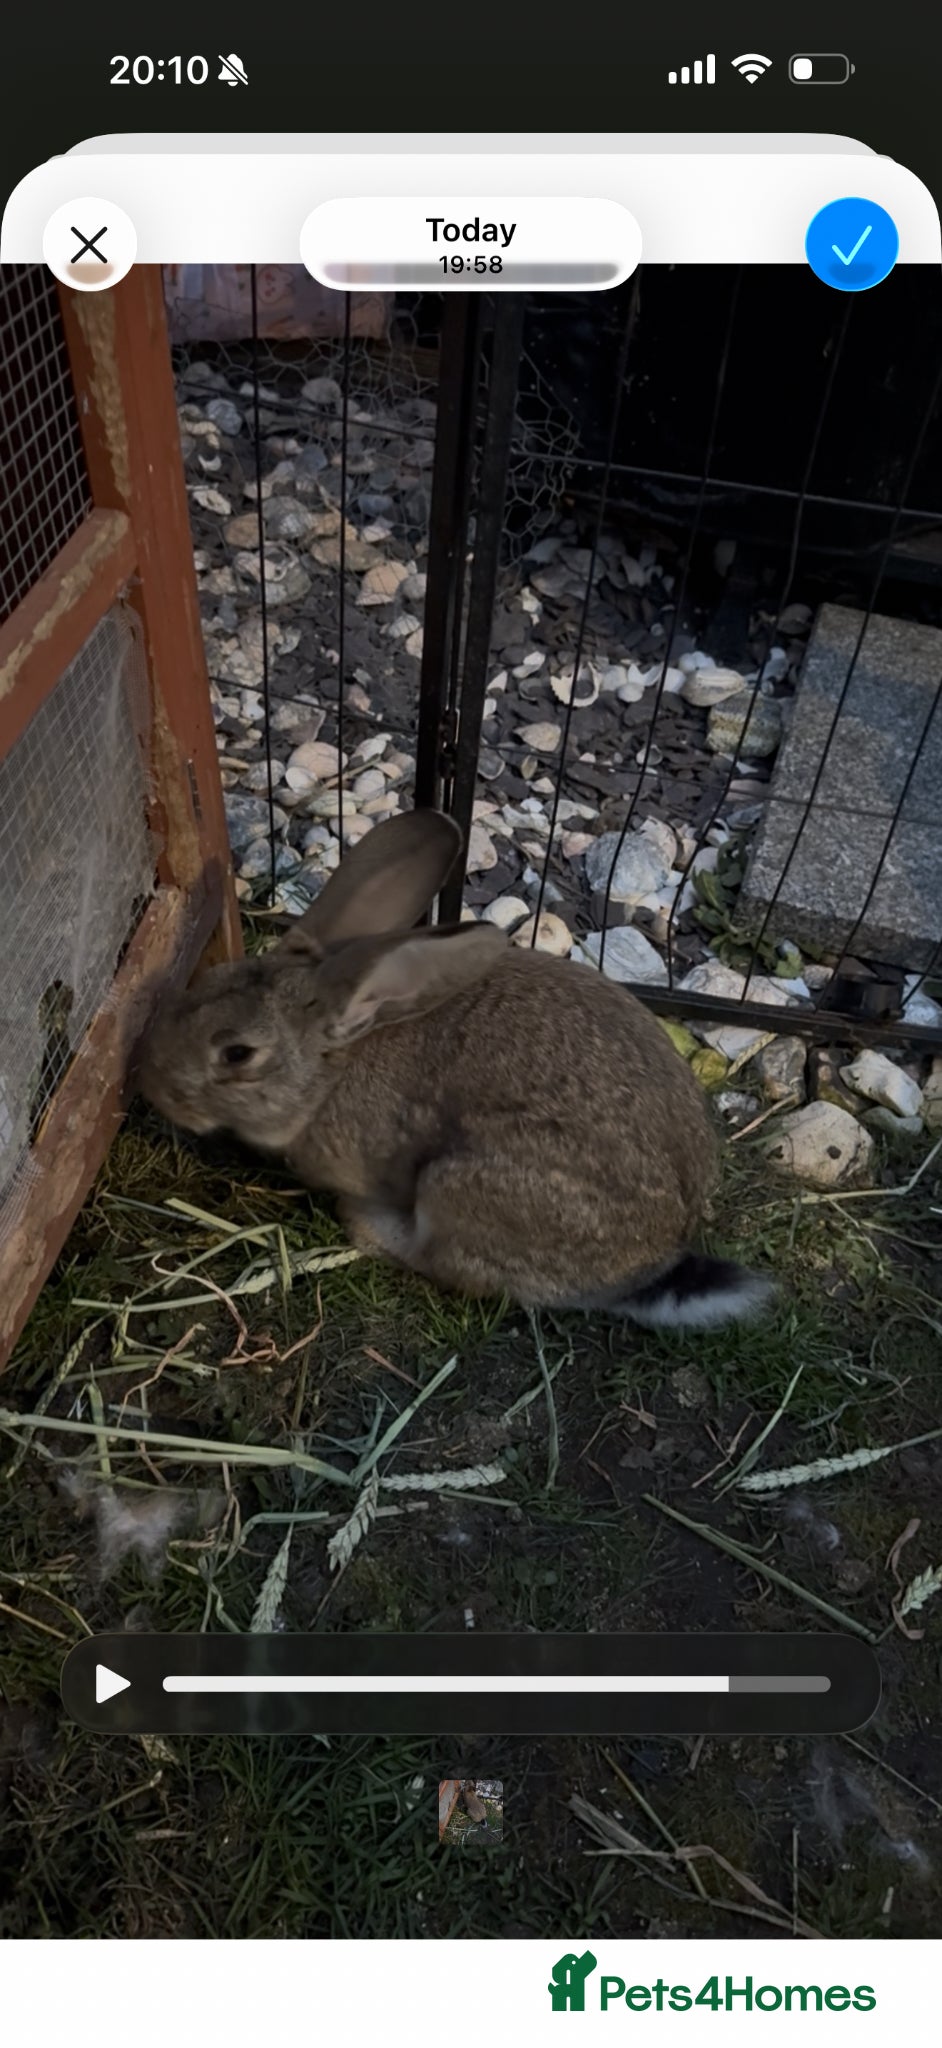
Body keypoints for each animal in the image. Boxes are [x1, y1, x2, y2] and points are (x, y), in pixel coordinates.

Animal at [137, 808, 772, 1328]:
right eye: (209, 982)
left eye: (237, 1054)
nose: (153, 1086)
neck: (333, 1067)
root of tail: (652, 1265)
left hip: (458, 1185)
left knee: (451, 1265)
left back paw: (367, 1223)